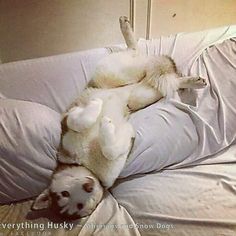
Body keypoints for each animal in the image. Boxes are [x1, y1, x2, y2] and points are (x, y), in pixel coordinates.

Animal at [31, 16, 206, 219]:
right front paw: (106, 126)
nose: (88, 186)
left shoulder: (66, 121)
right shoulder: (124, 144)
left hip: (114, 72)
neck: (87, 163)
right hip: (140, 96)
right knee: (167, 82)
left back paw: (126, 27)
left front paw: (95, 108)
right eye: (77, 204)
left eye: (65, 193)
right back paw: (192, 81)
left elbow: (78, 121)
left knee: (135, 51)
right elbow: (111, 149)